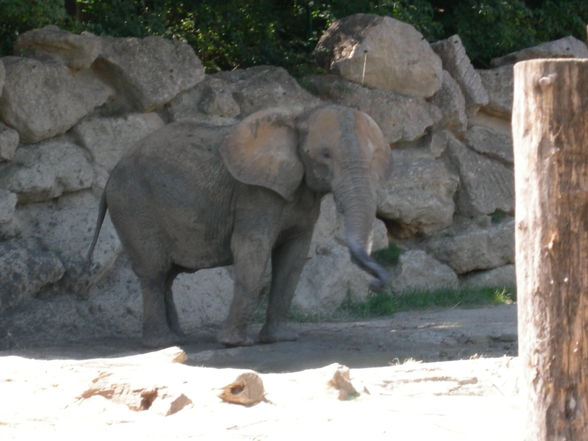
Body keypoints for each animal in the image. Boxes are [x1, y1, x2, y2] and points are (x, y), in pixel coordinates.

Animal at [86, 104, 390, 348]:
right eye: (324, 155)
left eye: (375, 157)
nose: (375, 285)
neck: (300, 116)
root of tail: (111, 175)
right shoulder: (254, 193)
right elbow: (252, 251)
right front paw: (236, 343)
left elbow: (293, 258)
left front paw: (280, 339)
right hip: (134, 204)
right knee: (154, 272)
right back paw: (161, 343)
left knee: (168, 276)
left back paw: (178, 338)